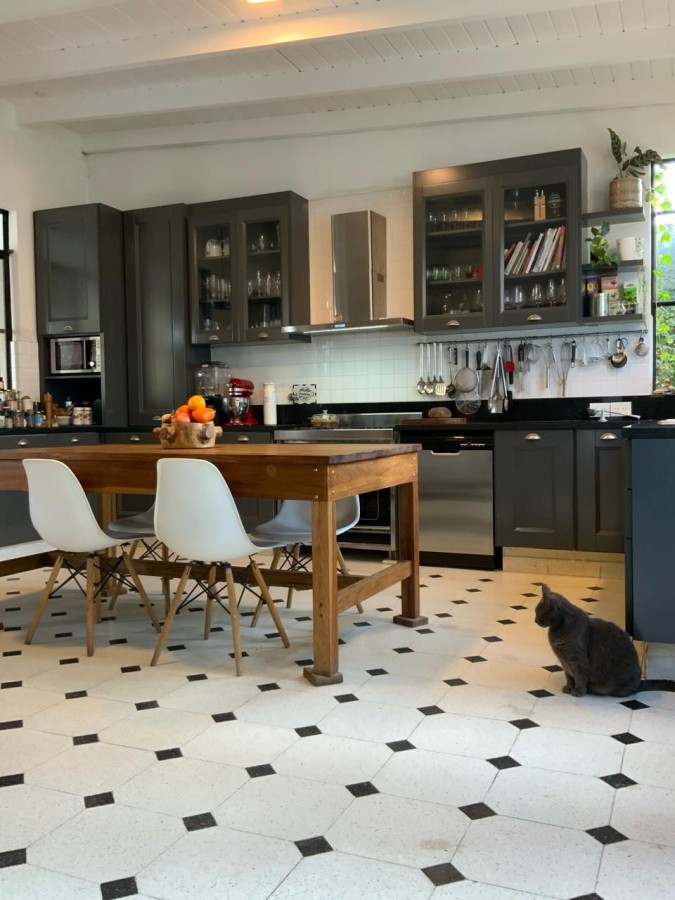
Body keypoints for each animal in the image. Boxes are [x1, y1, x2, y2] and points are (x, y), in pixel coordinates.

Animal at [534, 583, 668, 697]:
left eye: (538, 612)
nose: (534, 620)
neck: (558, 630)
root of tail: (639, 683)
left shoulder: (577, 659)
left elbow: (579, 676)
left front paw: (578, 691)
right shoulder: (564, 662)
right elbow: (569, 677)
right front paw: (568, 688)